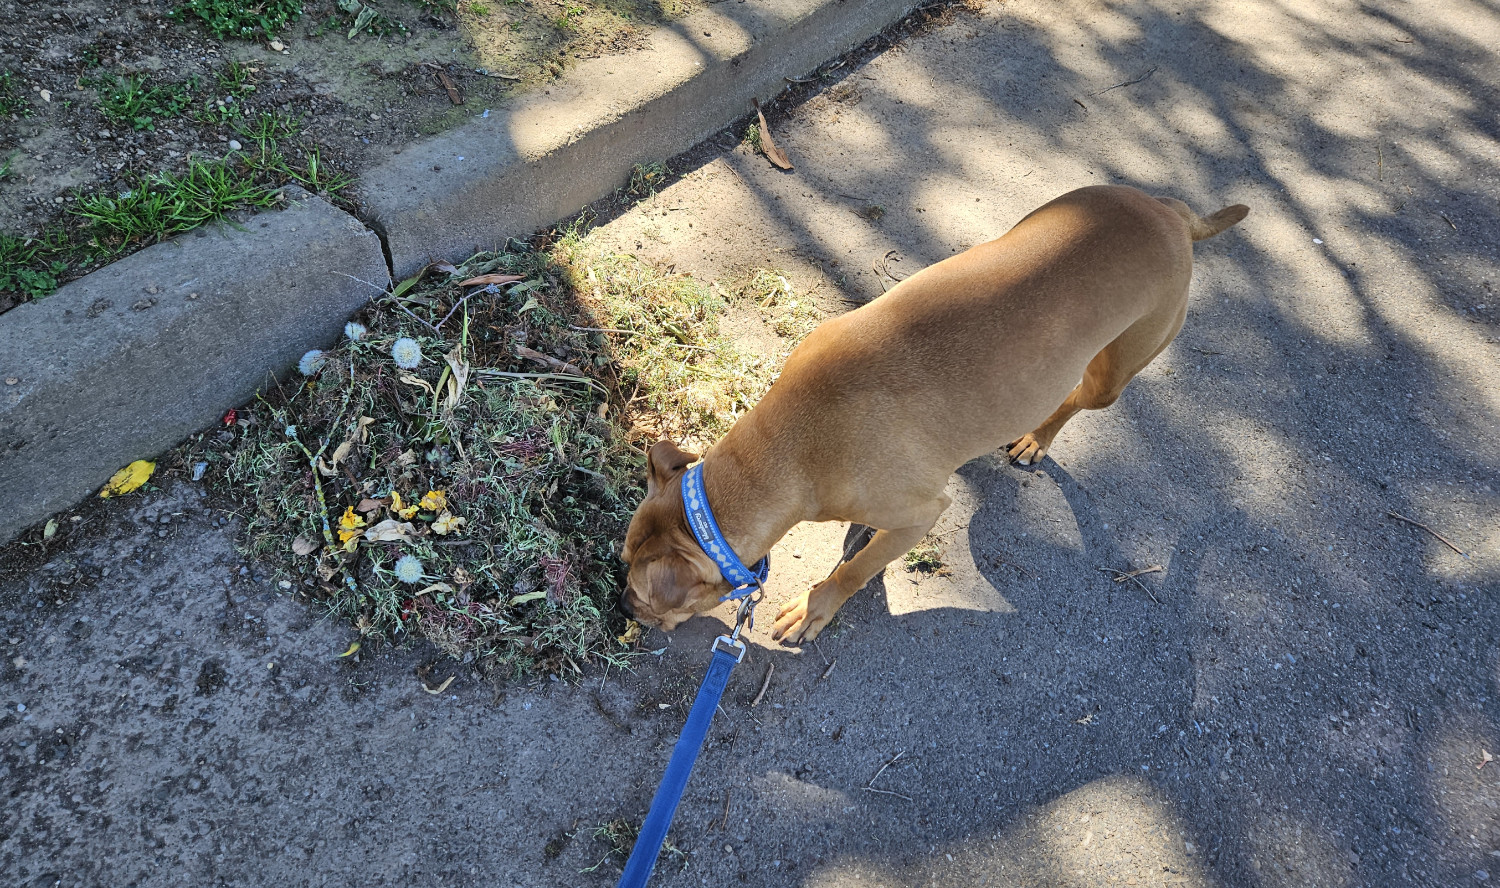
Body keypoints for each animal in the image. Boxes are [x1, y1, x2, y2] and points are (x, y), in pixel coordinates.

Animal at [615, 189, 1248, 645]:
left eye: (646, 596)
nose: (620, 604)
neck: (787, 444)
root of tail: (1172, 214)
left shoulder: (919, 515)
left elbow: (857, 569)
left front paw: (819, 604)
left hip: (1114, 377)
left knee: (1073, 401)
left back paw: (1037, 439)